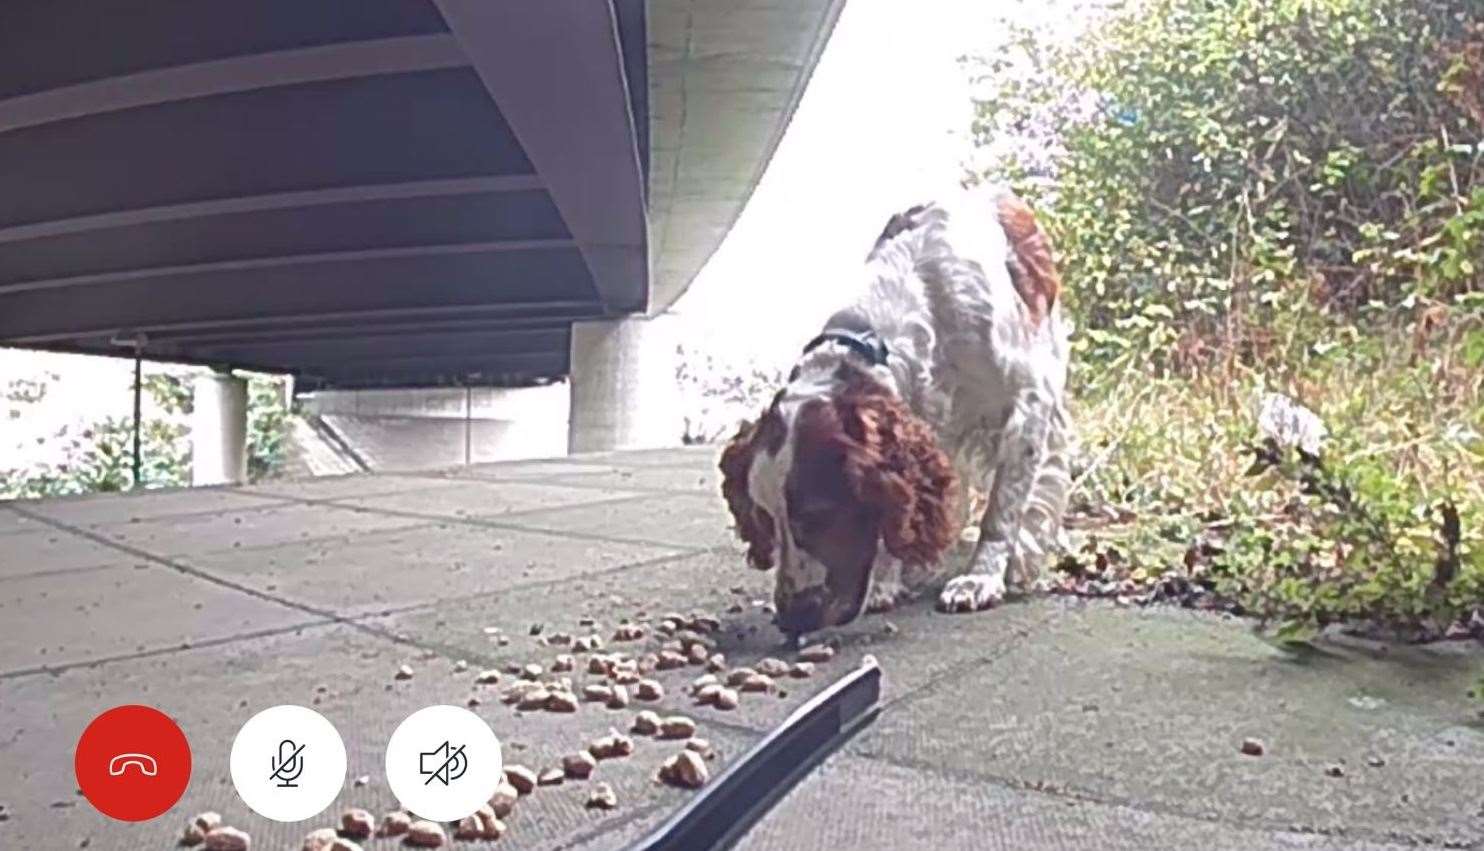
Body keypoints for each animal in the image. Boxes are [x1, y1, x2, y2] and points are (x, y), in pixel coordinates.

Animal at [715, 187, 1068, 635]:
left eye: (819, 514)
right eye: (764, 520)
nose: (792, 617)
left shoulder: (1027, 402)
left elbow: (1002, 510)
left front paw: (981, 577)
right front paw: (886, 581)